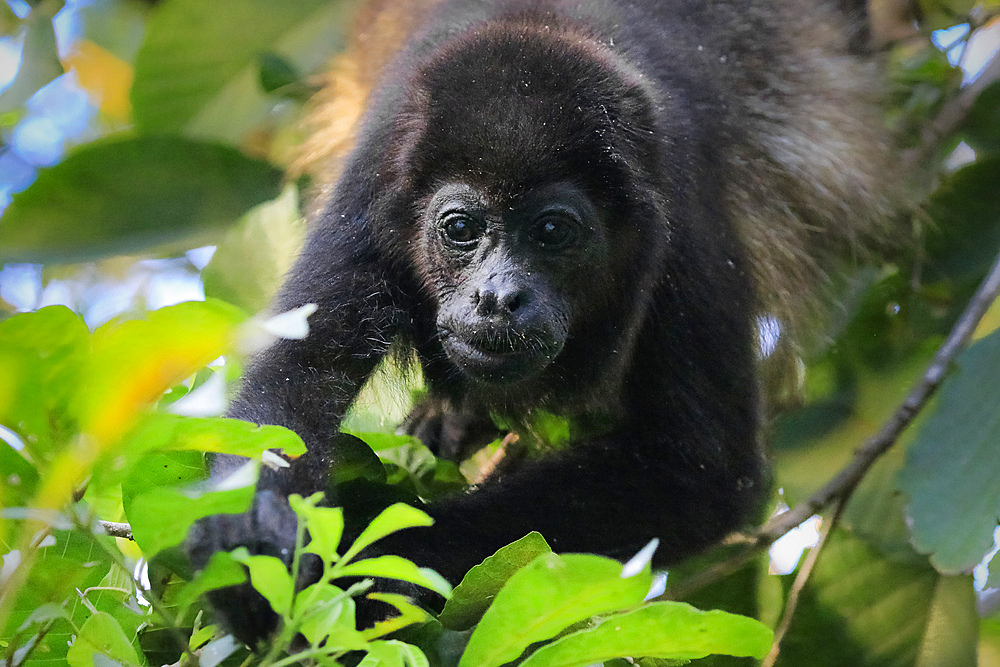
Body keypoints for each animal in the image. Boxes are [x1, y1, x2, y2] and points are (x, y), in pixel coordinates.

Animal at [189, 0, 900, 648]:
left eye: (554, 231)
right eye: (460, 227)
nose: (499, 297)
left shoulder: (685, 212)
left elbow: (702, 465)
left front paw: (376, 552)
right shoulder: (370, 188)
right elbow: (292, 382)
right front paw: (247, 537)